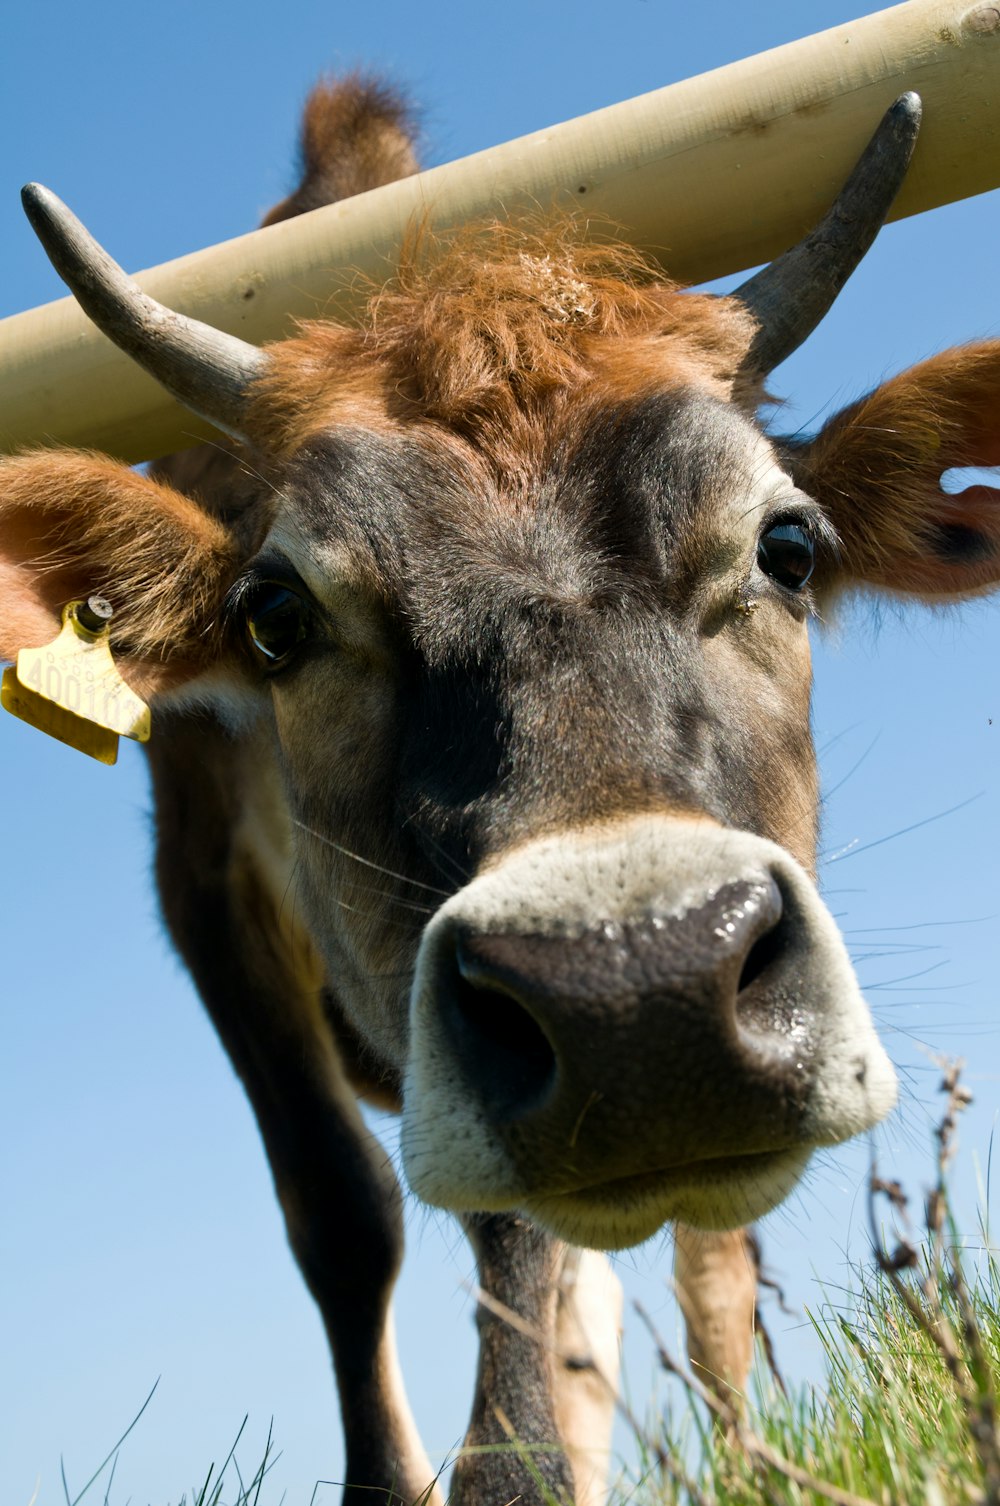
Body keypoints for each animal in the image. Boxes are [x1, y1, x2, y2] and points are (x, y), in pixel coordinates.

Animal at [3, 76, 993, 1499]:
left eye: (789, 545)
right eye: (275, 617)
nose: (639, 989)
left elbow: (552, 1243)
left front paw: (517, 1470)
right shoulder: (199, 876)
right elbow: (341, 1210)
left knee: (705, 1279)